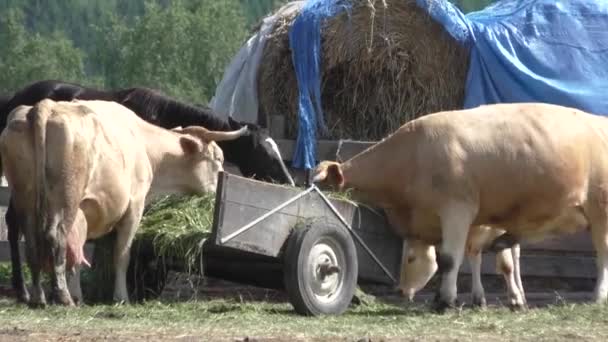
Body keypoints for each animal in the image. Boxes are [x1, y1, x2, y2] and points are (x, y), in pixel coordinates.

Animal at [0, 79, 294, 302]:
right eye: (263, 150)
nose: (289, 181)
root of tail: (32, 106)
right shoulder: (133, 202)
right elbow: (125, 250)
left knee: (28, 231)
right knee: (22, 228)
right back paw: (28, 290)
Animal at [314, 103, 604, 312]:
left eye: (409, 259)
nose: (400, 291)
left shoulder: (457, 210)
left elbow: (450, 259)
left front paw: (445, 301)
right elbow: (459, 259)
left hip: (601, 208)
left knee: (603, 253)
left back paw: (598, 295)